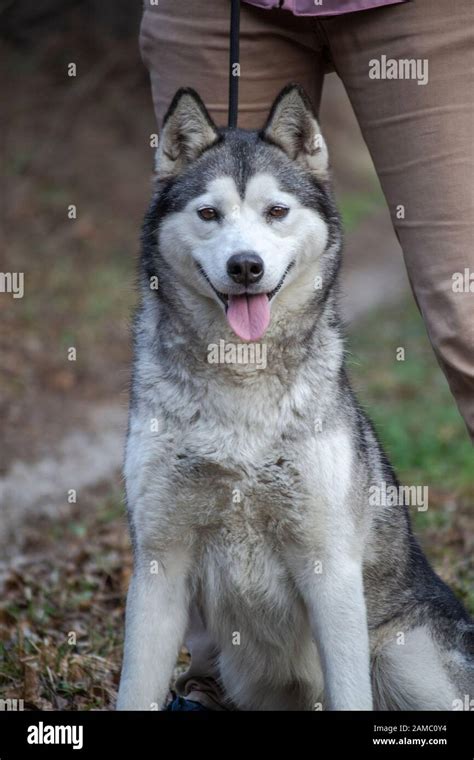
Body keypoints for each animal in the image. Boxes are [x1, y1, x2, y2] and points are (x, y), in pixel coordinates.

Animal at [117, 86, 474, 708]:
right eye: (208, 214)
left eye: (276, 212)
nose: (245, 265)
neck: (240, 379)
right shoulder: (160, 562)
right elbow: (134, 690)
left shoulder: (329, 566)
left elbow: (349, 691)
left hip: (404, 657)